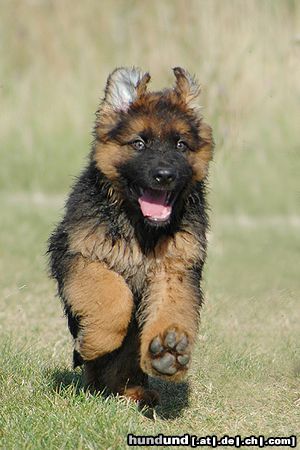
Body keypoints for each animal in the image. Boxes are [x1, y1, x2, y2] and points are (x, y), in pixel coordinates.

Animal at [48, 67, 213, 408]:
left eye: (180, 145)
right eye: (139, 143)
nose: (164, 176)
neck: (142, 228)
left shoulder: (176, 269)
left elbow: (172, 307)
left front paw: (169, 348)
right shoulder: (78, 253)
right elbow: (114, 297)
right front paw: (95, 341)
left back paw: (139, 385)